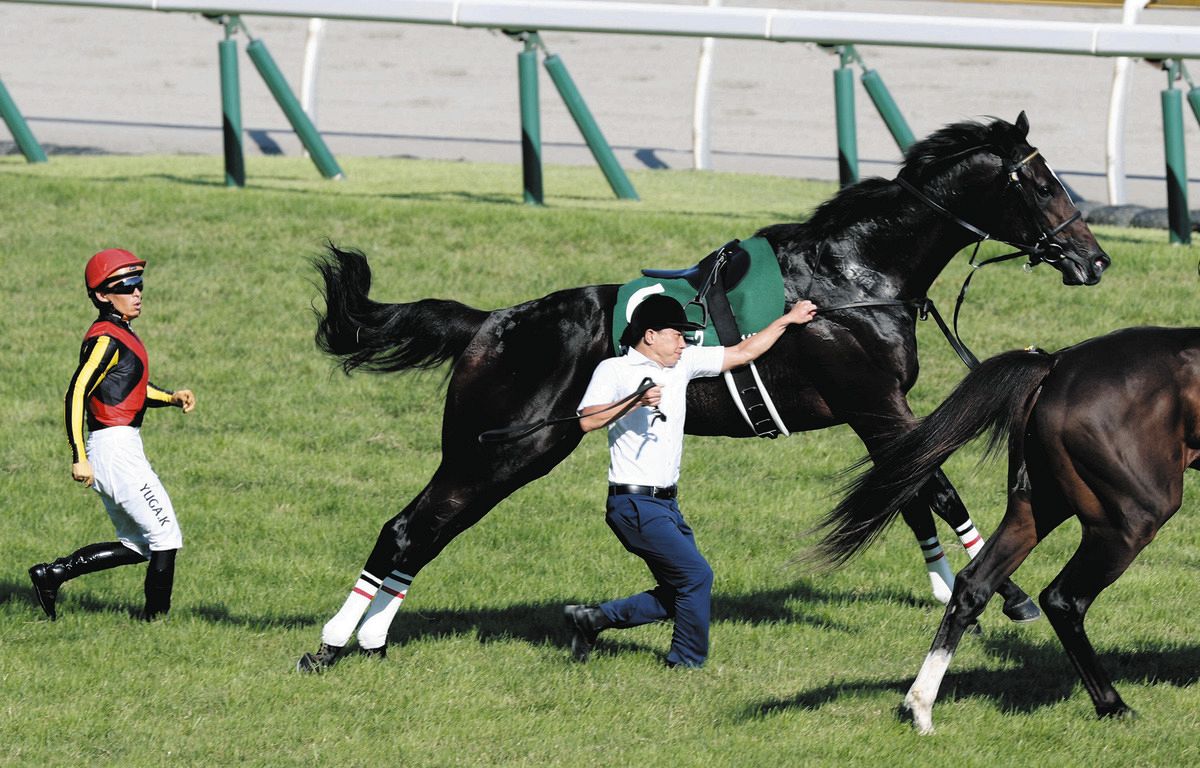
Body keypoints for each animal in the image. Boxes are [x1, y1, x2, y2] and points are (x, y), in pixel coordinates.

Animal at [296, 112, 1110, 671]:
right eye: (1041, 182)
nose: (1094, 259)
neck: (852, 276)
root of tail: (490, 323)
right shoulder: (875, 403)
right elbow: (932, 486)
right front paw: (1006, 594)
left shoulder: (874, 412)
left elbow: (910, 491)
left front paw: (953, 588)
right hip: (501, 451)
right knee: (410, 528)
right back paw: (333, 641)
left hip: (498, 455)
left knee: (427, 529)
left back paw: (373, 637)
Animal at [815, 327, 1200, 732]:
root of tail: (1056, 365)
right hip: (1132, 518)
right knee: (1062, 599)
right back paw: (1113, 705)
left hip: (1037, 507)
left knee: (974, 584)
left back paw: (921, 706)